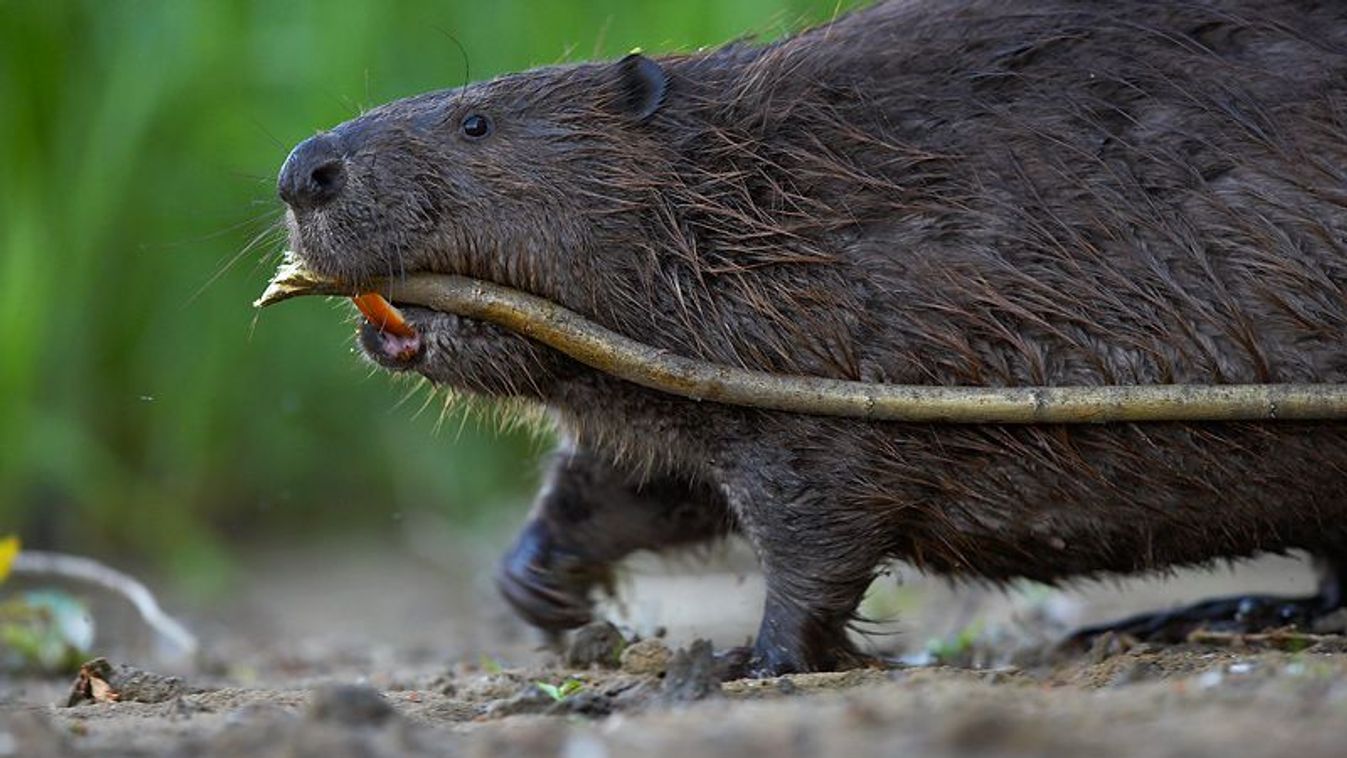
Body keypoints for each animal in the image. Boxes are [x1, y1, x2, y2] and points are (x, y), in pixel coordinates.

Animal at [276, 0, 1347, 675]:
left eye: (475, 121)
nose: (302, 170)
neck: (760, 193)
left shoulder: (839, 376)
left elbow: (815, 531)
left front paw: (752, 661)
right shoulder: (692, 384)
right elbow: (635, 487)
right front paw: (540, 588)